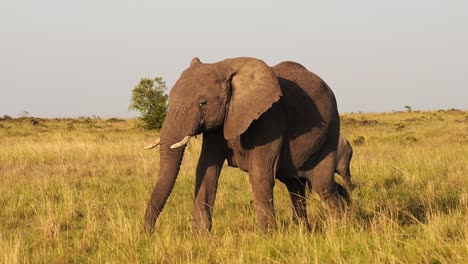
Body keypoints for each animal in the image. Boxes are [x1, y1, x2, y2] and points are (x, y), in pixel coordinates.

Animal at [144, 56, 350, 234]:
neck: (226, 67)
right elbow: (206, 170)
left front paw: (265, 237)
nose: (148, 233)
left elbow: (260, 174)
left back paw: (341, 228)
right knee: (296, 188)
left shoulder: (270, 117)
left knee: (323, 186)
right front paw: (200, 238)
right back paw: (303, 232)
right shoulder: (220, 124)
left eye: (203, 103)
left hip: (330, 134)